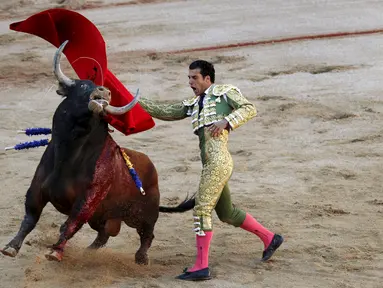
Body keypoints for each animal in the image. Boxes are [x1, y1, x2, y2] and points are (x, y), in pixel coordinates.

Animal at [0, 41, 195, 264]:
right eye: (83, 86)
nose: (105, 92)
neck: (68, 155)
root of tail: (151, 168)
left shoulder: (87, 201)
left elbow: (70, 224)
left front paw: (55, 251)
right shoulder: (36, 189)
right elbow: (30, 218)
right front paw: (10, 247)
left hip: (145, 212)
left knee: (147, 233)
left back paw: (141, 258)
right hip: (103, 217)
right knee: (104, 235)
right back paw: (89, 252)